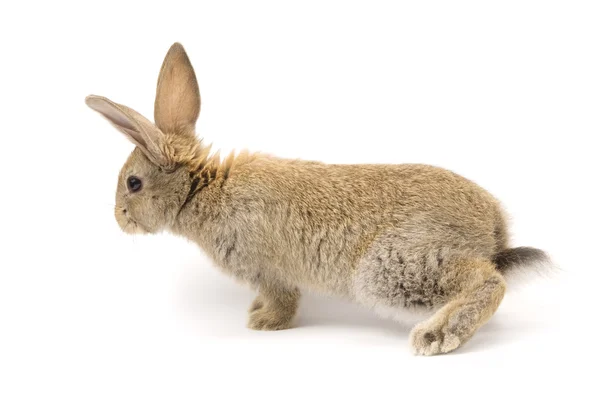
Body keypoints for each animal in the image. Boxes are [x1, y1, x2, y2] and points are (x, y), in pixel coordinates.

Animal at [84, 43, 548, 356]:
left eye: (133, 183)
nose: (119, 218)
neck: (205, 190)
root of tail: (494, 231)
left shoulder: (269, 270)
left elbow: (284, 300)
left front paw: (263, 323)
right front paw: (256, 313)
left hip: (389, 268)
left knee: (489, 281)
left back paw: (435, 336)